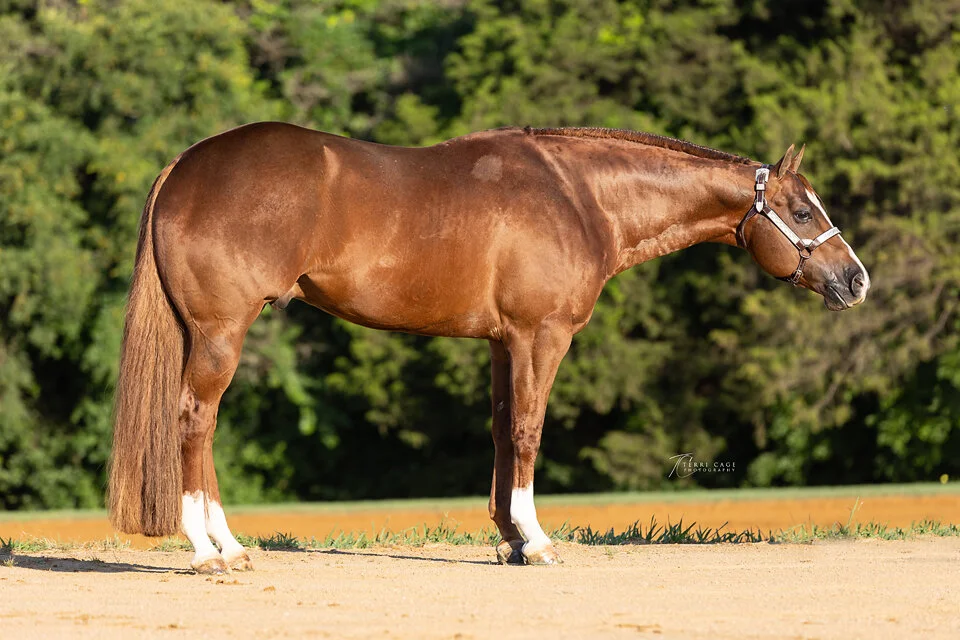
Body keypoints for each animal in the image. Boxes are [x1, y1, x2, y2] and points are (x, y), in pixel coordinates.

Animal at [108, 123, 870, 573]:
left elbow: (505, 433)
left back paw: (226, 546)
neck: (579, 197)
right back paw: (212, 551)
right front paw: (537, 539)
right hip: (221, 334)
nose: (856, 280)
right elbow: (530, 431)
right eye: (803, 211)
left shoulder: (505, 343)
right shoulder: (542, 335)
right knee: (193, 423)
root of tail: (185, 166)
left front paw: (509, 537)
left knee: (199, 427)